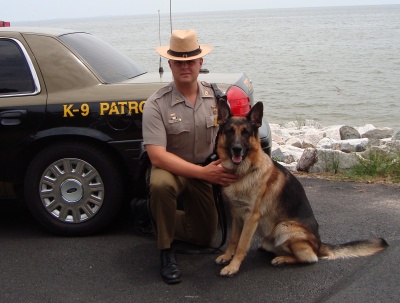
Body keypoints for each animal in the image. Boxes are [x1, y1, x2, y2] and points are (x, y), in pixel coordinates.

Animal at [216, 100, 388, 278]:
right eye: (229, 131)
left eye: (245, 133)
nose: (237, 149)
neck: (242, 173)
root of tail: (319, 244)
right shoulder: (237, 216)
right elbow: (233, 240)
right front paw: (227, 257)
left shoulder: (251, 218)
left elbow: (241, 245)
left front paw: (233, 266)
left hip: (284, 228)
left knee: (310, 257)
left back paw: (282, 259)